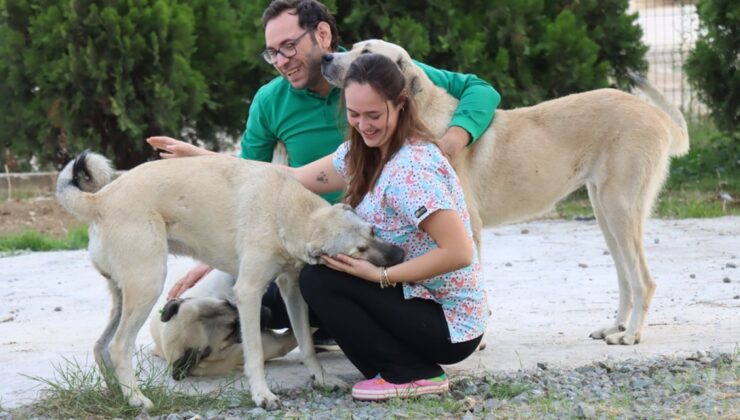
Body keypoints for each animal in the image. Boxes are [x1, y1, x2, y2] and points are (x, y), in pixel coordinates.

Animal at [56, 153, 404, 408]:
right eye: (358, 252)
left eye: (373, 231)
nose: (400, 255)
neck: (288, 210)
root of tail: (100, 199)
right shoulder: (248, 294)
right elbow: (255, 354)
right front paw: (262, 395)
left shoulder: (291, 289)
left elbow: (306, 342)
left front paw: (320, 379)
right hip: (147, 284)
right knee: (118, 346)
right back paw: (136, 399)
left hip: (123, 292)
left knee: (101, 346)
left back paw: (119, 394)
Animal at [320, 40, 692, 348]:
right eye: (351, 46)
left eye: (367, 52)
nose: (325, 57)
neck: (422, 116)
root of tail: (655, 114)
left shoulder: (470, 229)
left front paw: (478, 342)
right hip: (605, 212)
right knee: (626, 276)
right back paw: (616, 327)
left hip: (620, 209)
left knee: (644, 279)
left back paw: (632, 334)